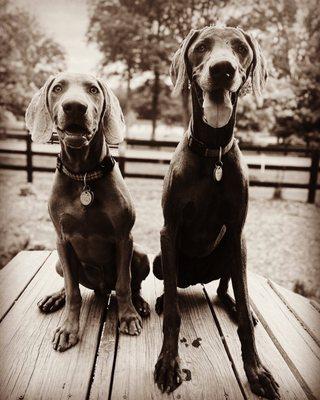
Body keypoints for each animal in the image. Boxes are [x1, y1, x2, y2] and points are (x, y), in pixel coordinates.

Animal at [25, 73, 150, 352]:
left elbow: (124, 284)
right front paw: (68, 329)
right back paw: (55, 298)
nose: (74, 106)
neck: (83, 175)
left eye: (93, 90)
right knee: (69, 284)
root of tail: (102, 289)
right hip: (60, 261)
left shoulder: (124, 238)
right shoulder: (62, 240)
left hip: (141, 254)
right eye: (58, 88)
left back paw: (139, 304)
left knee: (132, 284)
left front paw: (127, 316)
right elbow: (73, 292)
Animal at [153, 26, 280, 398]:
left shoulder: (237, 232)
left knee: (227, 288)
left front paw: (256, 371)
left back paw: (237, 306)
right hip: (161, 261)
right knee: (174, 289)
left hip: (234, 252)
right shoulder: (169, 230)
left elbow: (245, 319)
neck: (213, 155)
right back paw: (166, 299)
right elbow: (173, 315)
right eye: (202, 47)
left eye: (240, 48)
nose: (222, 69)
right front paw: (169, 362)